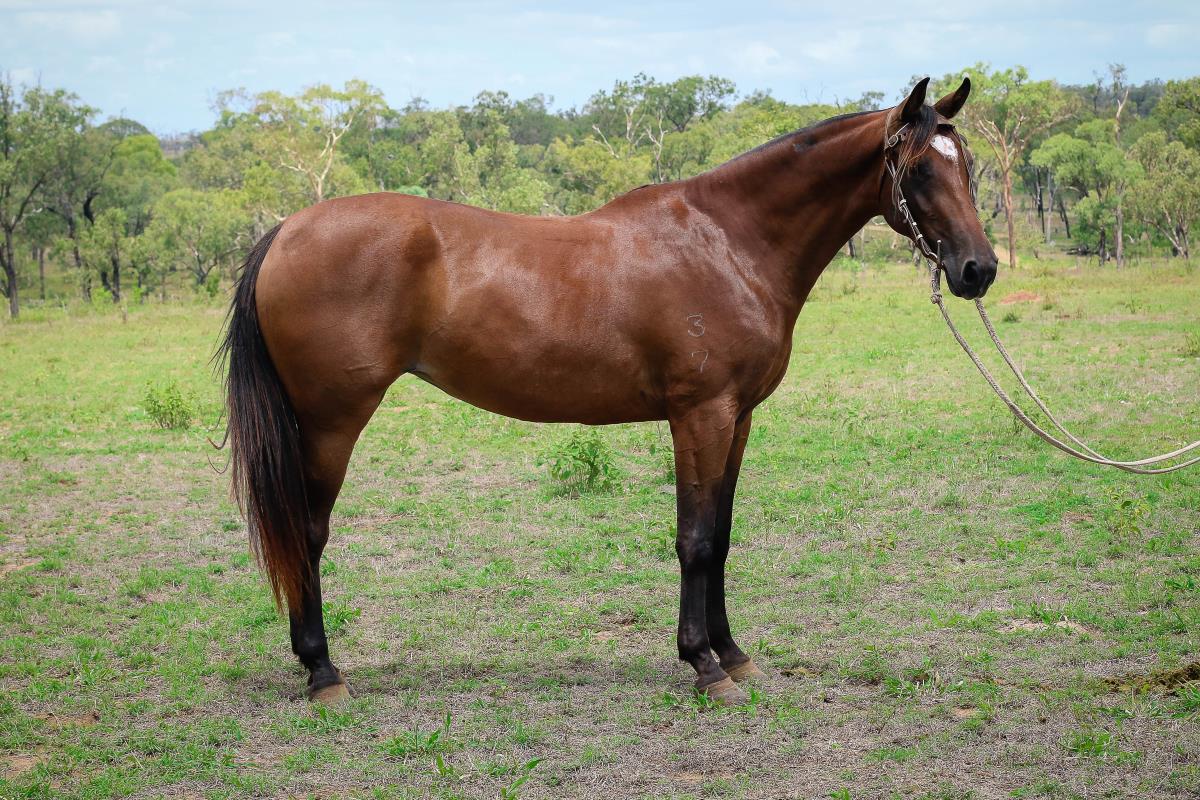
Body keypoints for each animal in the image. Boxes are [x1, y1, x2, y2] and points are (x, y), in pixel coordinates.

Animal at [218, 77, 997, 705]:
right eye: (919, 169)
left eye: (968, 167)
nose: (978, 269)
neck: (730, 242)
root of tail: (287, 229)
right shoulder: (700, 415)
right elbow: (694, 538)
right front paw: (703, 665)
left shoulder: (737, 418)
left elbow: (722, 534)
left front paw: (733, 653)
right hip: (331, 422)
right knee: (306, 533)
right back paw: (323, 673)